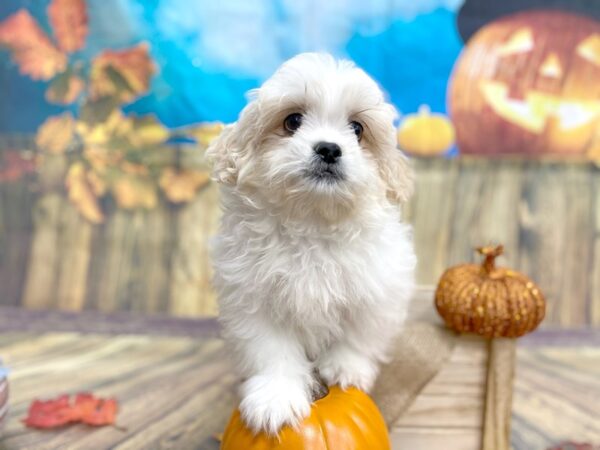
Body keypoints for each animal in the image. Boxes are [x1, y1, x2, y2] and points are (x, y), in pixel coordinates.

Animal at [209, 52, 414, 436]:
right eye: (292, 121)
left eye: (357, 129)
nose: (329, 149)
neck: (312, 223)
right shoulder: (253, 299)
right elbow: (272, 349)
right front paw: (275, 398)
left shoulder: (377, 287)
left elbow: (360, 331)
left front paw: (346, 368)